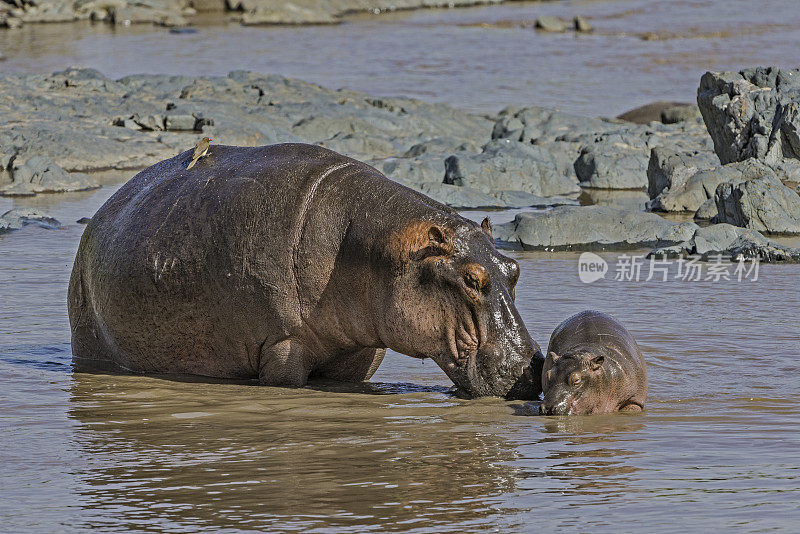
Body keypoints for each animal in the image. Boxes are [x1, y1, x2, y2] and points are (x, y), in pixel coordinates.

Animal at [67, 144, 544, 400]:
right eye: (471, 279)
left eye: (514, 269)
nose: (531, 363)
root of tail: (102, 213)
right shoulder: (283, 345)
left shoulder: (361, 354)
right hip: (89, 339)